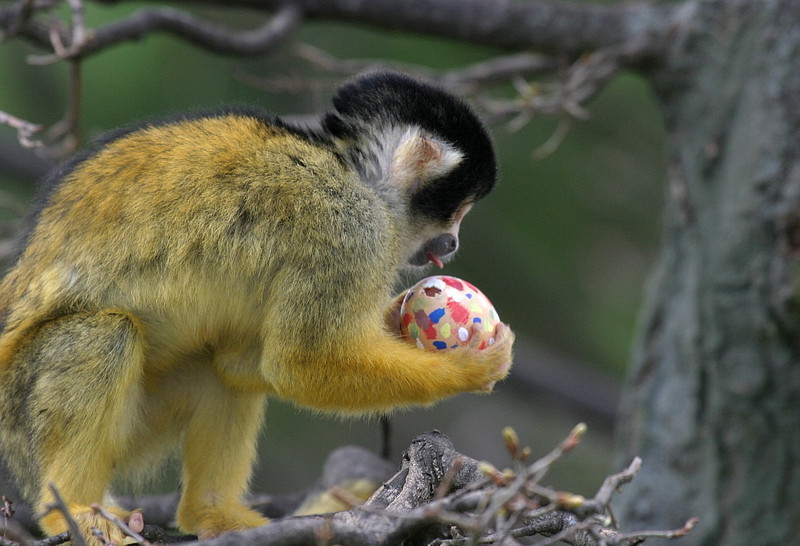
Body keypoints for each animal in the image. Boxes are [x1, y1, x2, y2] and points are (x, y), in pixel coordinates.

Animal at [0, 71, 512, 540]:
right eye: (457, 210)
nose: (452, 243)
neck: (352, 172)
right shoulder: (347, 228)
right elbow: (300, 363)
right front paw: (470, 368)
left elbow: (244, 360)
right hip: (19, 416)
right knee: (107, 334)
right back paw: (71, 511)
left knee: (214, 365)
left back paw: (210, 515)